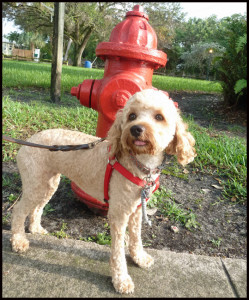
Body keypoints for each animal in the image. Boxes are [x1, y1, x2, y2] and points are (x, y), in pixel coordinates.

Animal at [10, 88, 196, 292]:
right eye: (132, 116)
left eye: (159, 117)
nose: (136, 129)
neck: (140, 164)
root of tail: (27, 142)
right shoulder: (118, 215)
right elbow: (118, 251)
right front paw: (121, 280)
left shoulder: (136, 210)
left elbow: (136, 237)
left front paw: (139, 258)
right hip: (35, 184)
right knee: (18, 211)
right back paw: (18, 241)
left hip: (48, 184)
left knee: (37, 208)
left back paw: (35, 229)